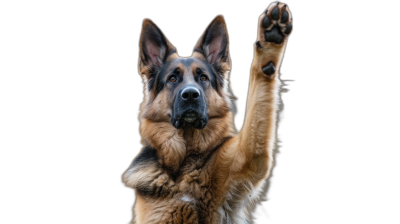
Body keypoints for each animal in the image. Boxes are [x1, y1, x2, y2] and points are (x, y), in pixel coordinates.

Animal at [122, 1, 294, 222]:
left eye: (203, 78)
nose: (190, 95)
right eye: (172, 78)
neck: (184, 162)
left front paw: (271, 44)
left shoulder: (247, 158)